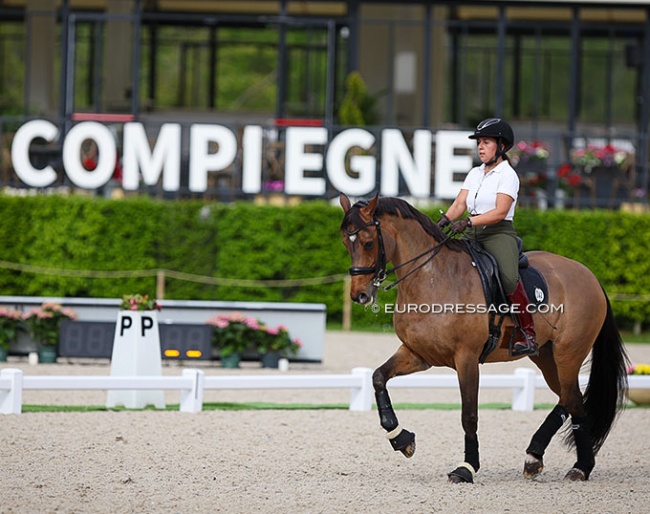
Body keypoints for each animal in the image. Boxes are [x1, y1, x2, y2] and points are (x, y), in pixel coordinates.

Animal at [340, 191, 628, 480]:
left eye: (368, 243)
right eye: (345, 243)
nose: (360, 295)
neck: (431, 277)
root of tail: (590, 276)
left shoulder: (466, 359)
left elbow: (469, 415)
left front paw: (467, 467)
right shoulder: (418, 354)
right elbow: (378, 378)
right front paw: (401, 440)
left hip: (568, 353)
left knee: (574, 401)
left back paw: (581, 466)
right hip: (546, 357)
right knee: (568, 398)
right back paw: (535, 457)